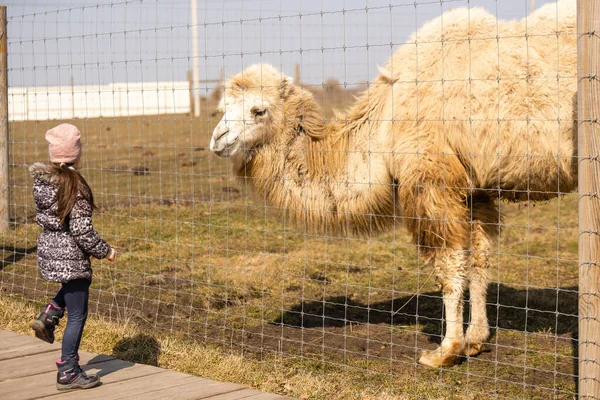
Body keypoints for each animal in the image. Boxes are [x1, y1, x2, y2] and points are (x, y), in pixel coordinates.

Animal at [209, 0, 580, 368]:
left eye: (258, 110)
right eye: (223, 107)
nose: (218, 139)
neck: (385, 119)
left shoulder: (431, 179)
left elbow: (449, 267)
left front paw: (445, 351)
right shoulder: (474, 190)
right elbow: (478, 261)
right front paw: (475, 340)